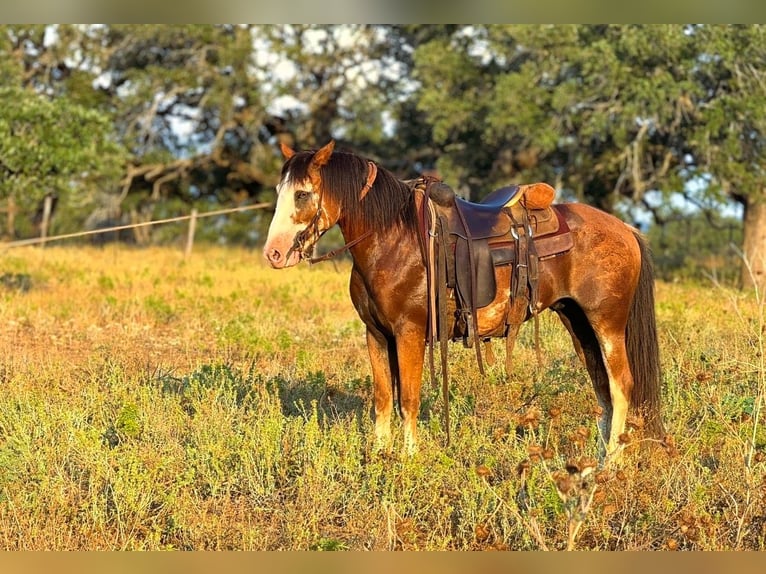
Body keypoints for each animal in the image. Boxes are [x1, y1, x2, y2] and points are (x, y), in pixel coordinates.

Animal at [264, 141, 664, 460]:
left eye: (302, 194)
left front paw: (409, 460)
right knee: (603, 388)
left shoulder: (409, 333)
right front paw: (379, 457)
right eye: (279, 191)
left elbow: (409, 399)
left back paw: (611, 464)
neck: (392, 239)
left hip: (607, 323)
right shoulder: (376, 334)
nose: (274, 254)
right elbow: (382, 399)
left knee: (621, 385)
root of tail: (626, 229)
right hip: (578, 322)